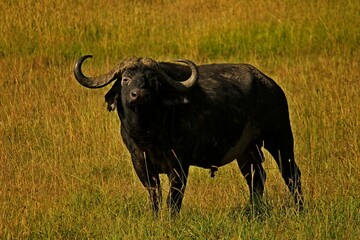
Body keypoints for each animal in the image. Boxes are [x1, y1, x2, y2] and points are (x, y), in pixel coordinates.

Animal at [73, 55, 304, 215]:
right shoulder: (139, 162)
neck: (148, 133)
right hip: (247, 150)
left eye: (153, 81)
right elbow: (155, 196)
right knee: (256, 178)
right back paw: (255, 212)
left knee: (291, 174)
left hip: (279, 138)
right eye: (126, 79)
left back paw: (299, 210)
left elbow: (173, 199)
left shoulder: (179, 164)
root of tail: (270, 85)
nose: (139, 95)